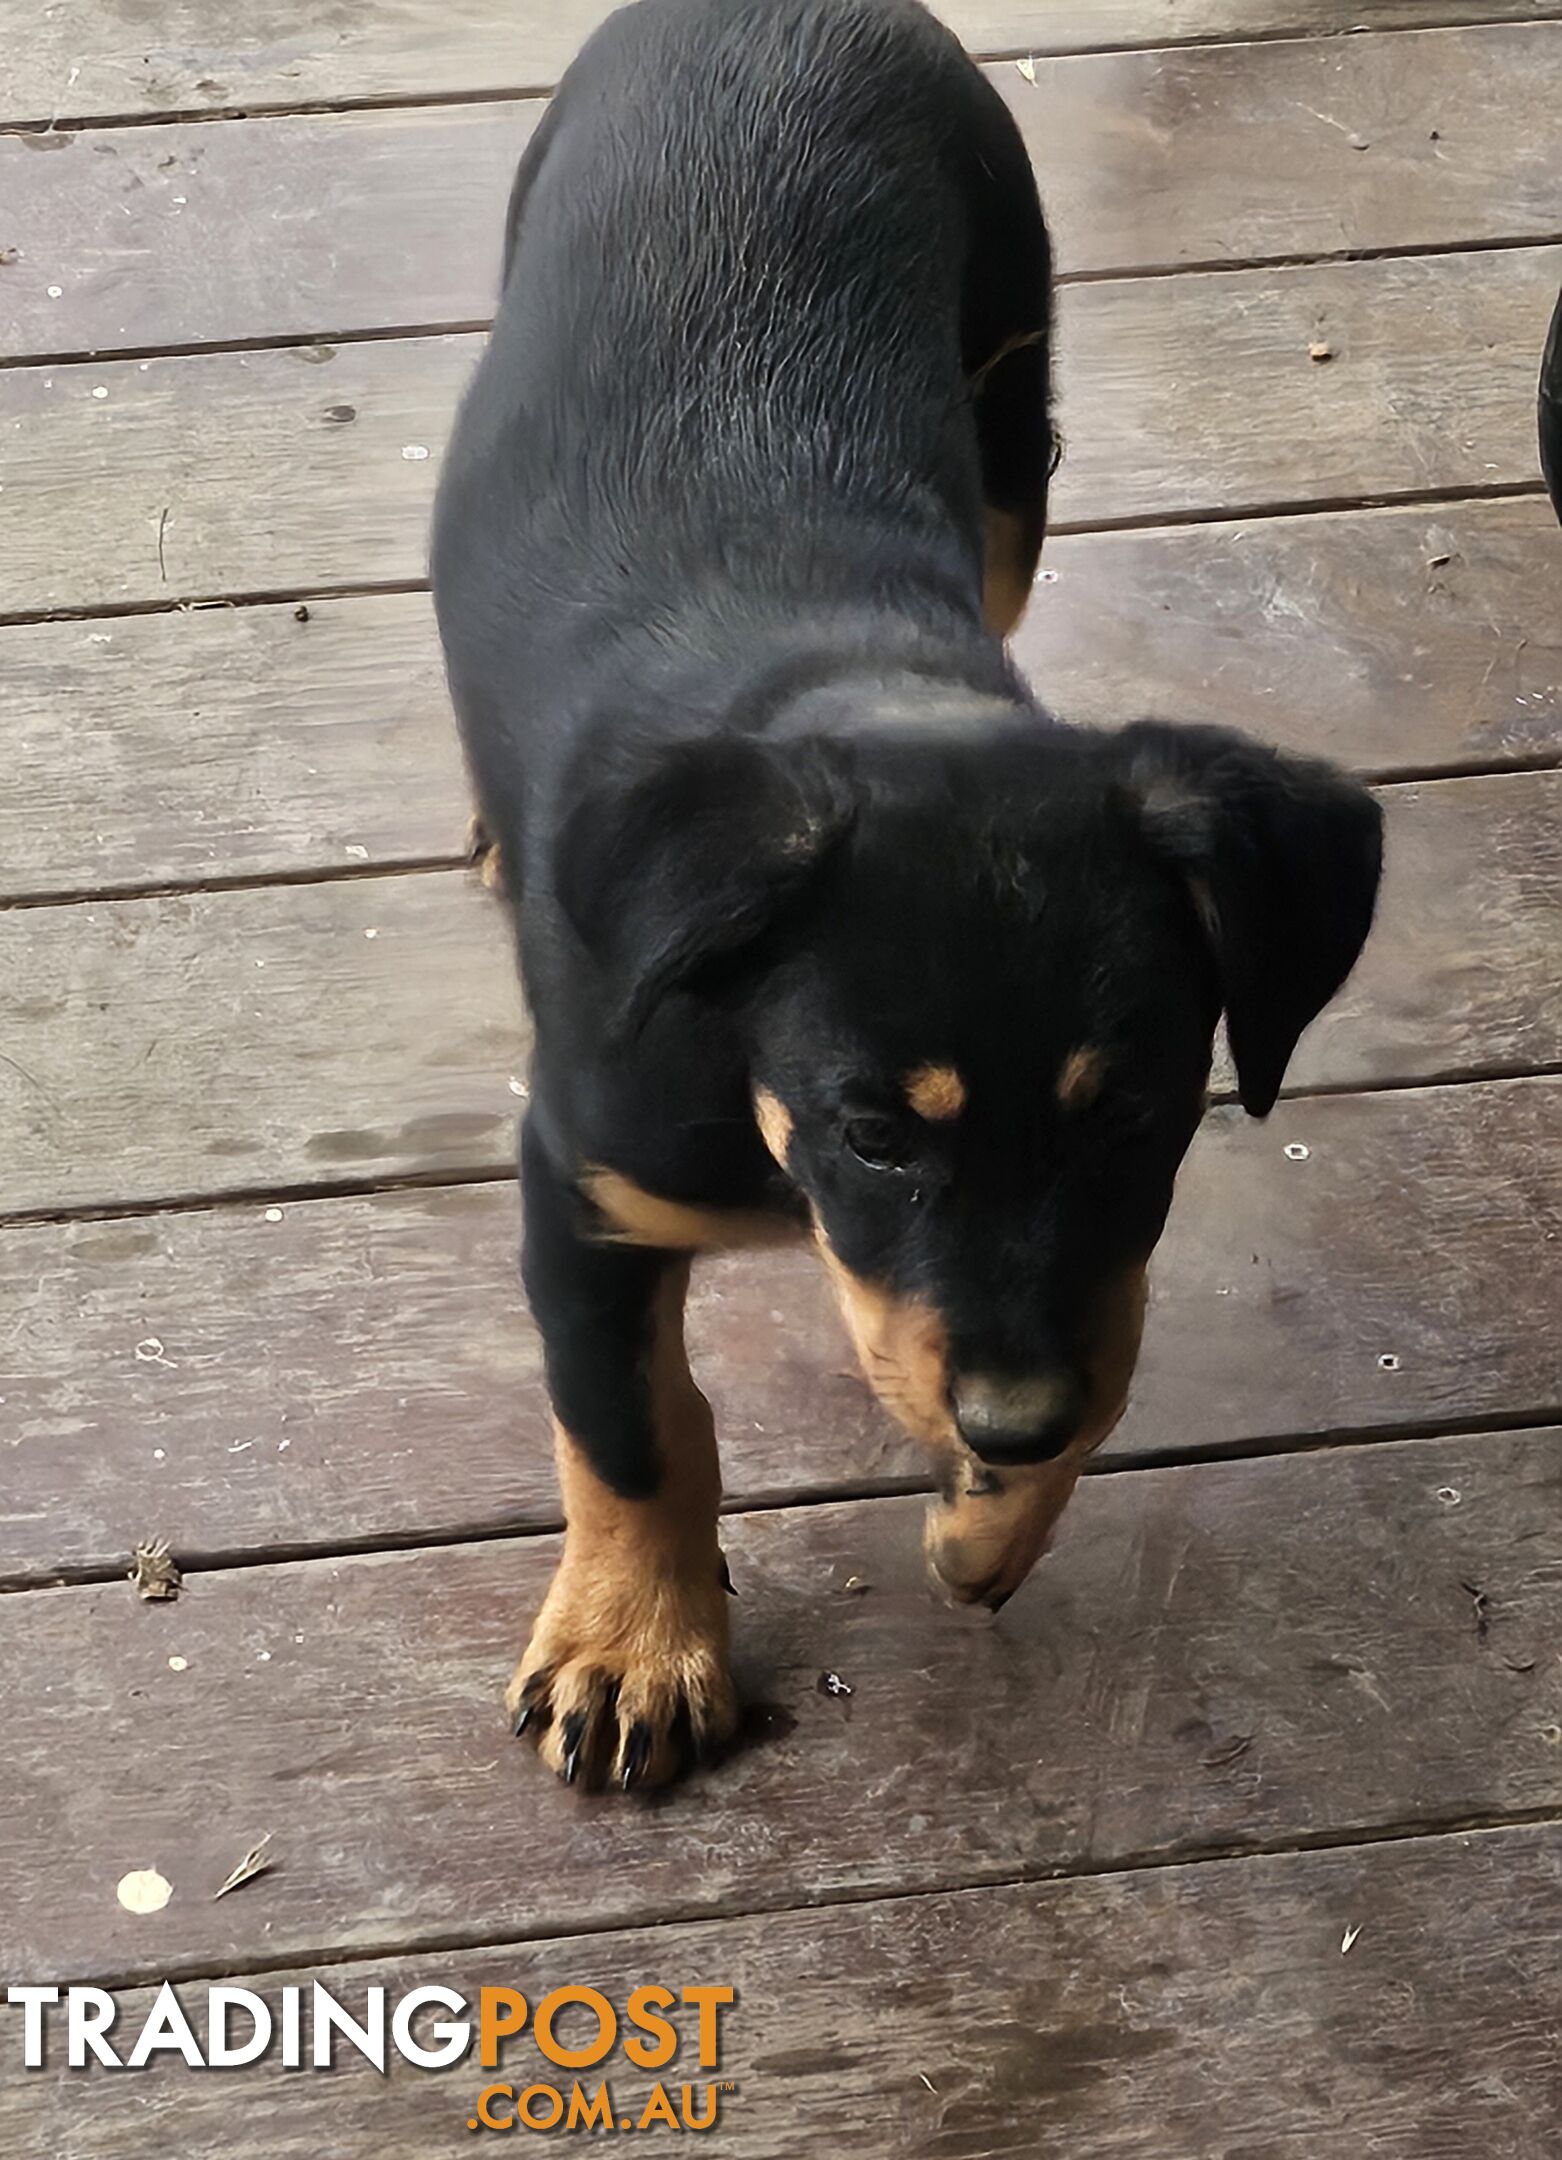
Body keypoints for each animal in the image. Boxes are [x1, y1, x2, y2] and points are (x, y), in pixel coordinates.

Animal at [429, 0, 1382, 1788]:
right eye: (872, 1130)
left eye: (1130, 1113)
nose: (1004, 1428)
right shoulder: (578, 1179)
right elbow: (629, 1424)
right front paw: (632, 1647)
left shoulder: (1074, 1286)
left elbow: (1099, 1342)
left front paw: (992, 1520)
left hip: (1010, 412)